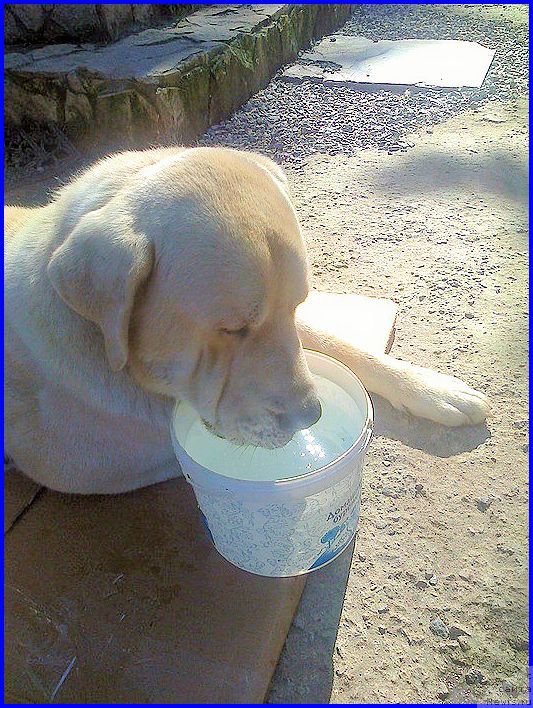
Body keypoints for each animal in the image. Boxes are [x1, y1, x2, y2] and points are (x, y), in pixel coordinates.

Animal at [4, 145, 488, 492]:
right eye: (233, 329)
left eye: (296, 305)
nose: (311, 415)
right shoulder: (76, 464)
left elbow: (342, 346)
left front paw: (434, 388)